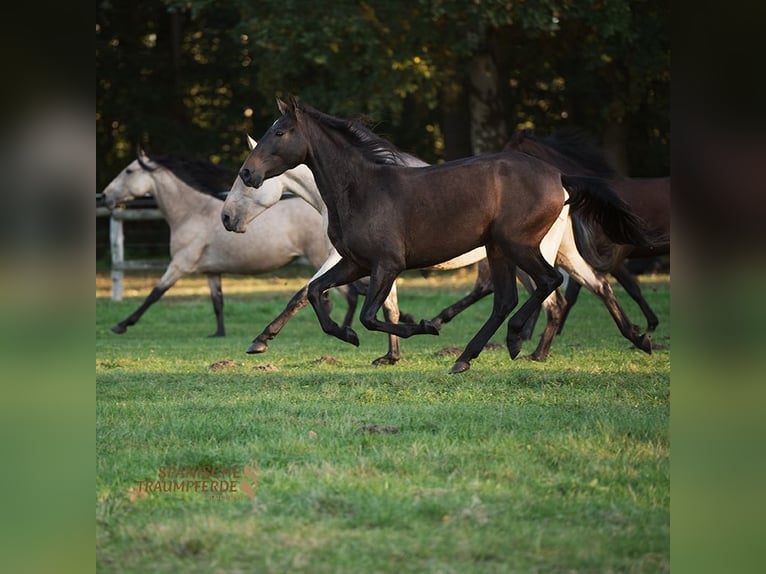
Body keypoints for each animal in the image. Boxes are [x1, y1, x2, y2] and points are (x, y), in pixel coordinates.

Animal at [102, 148, 348, 338]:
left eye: (128, 171)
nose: (104, 196)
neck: (191, 212)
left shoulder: (180, 264)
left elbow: (154, 293)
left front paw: (121, 325)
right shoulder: (211, 271)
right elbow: (217, 302)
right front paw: (219, 333)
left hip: (322, 257)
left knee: (349, 293)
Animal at [232, 98, 656, 374]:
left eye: (280, 131)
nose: (248, 173)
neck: (362, 188)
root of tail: (559, 176)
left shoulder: (386, 264)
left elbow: (371, 314)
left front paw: (420, 327)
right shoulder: (355, 263)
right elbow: (317, 293)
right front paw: (347, 336)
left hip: (520, 246)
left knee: (548, 285)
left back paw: (515, 340)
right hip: (501, 249)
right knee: (521, 296)